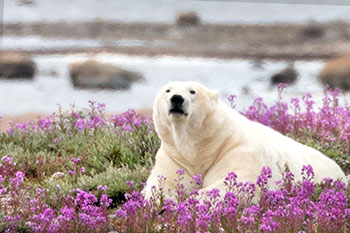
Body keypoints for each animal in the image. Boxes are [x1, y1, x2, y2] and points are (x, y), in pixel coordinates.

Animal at [143, 81, 348, 199]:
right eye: (167, 90)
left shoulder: (236, 150)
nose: (176, 99)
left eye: (192, 91)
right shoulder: (175, 158)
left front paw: (194, 200)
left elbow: (238, 180)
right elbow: (160, 183)